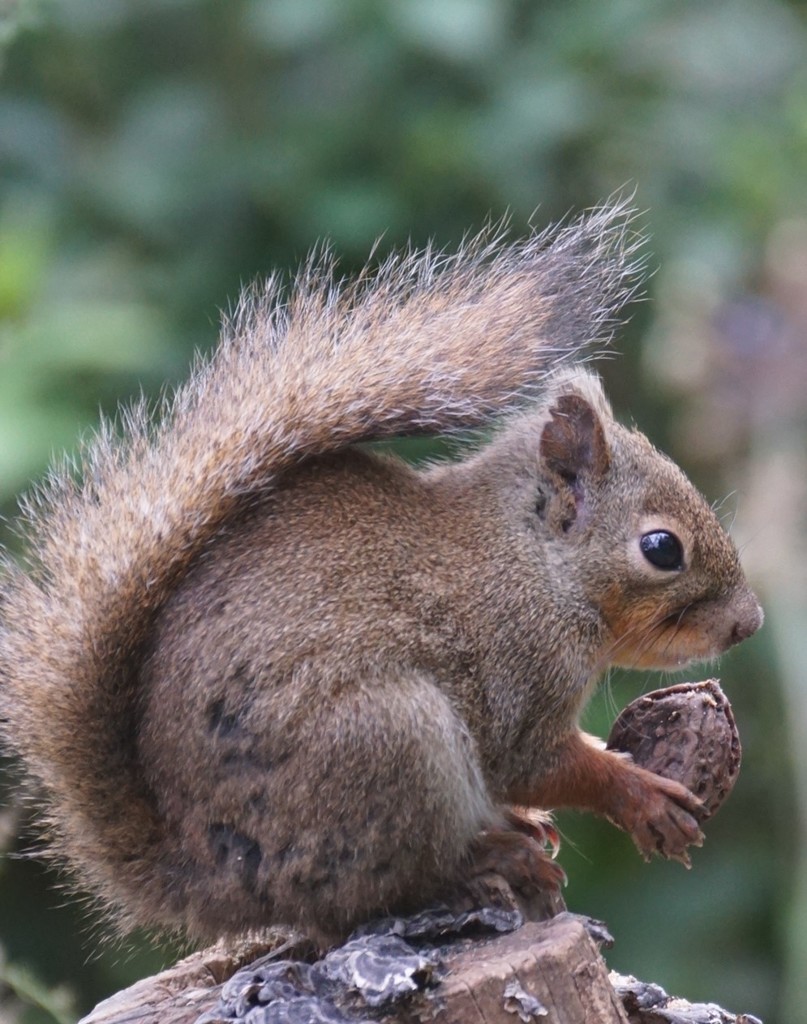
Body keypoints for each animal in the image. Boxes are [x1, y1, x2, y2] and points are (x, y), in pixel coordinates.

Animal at [0, 203, 761, 946]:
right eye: (661, 548)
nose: (748, 623)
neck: (533, 564)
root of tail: (213, 878)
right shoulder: (516, 673)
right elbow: (535, 763)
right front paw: (638, 795)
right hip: (392, 740)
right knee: (381, 889)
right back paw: (488, 857)